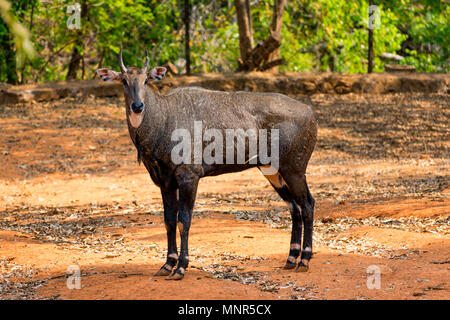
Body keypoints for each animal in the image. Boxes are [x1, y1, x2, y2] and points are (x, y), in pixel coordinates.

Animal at [96, 50, 318, 280]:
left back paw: (304, 259)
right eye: (124, 80)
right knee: (294, 207)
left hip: (294, 170)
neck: (163, 119)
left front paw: (181, 267)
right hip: (272, 171)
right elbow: (169, 221)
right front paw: (167, 264)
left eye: (146, 80)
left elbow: (184, 220)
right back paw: (291, 258)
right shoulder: (165, 182)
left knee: (307, 204)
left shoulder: (189, 177)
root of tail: (310, 112)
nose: (138, 106)